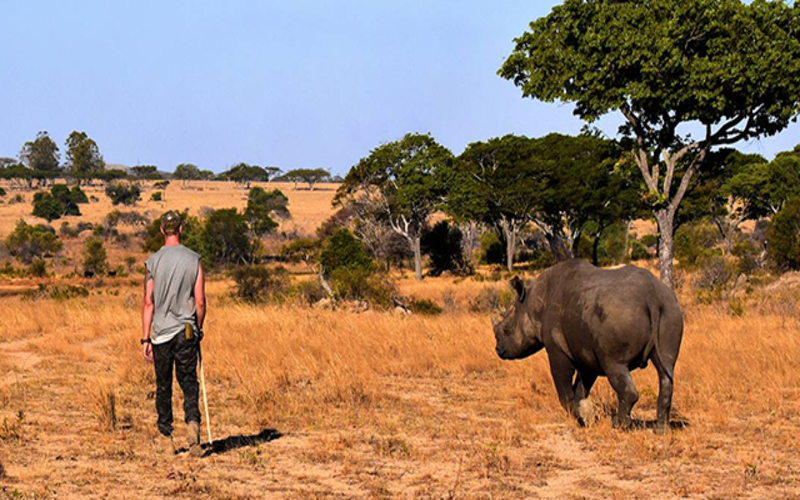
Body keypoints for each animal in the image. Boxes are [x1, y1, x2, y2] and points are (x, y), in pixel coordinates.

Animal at [494, 260, 680, 432]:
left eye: (506, 329)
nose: (499, 350)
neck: (533, 302)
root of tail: (651, 295)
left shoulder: (557, 349)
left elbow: (564, 388)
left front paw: (582, 417)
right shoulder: (586, 352)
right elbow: (581, 387)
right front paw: (585, 414)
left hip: (618, 316)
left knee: (615, 365)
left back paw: (619, 426)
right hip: (670, 308)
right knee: (665, 371)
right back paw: (661, 430)